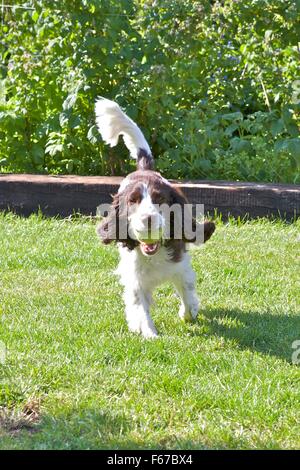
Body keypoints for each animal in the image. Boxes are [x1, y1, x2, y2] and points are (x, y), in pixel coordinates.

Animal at [95, 98, 214, 338]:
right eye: (133, 201)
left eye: (160, 199)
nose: (148, 219)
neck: (155, 253)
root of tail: (144, 169)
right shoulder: (135, 278)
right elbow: (141, 307)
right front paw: (150, 334)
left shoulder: (181, 267)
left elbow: (187, 296)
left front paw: (188, 313)